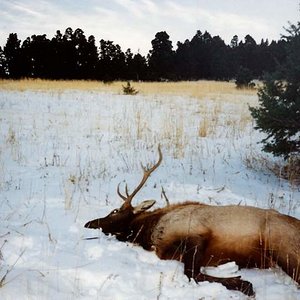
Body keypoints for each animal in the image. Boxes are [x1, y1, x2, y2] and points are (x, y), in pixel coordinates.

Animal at [84, 146, 300, 296]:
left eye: (114, 211)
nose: (88, 223)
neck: (150, 230)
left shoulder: (195, 234)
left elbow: (192, 274)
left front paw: (243, 284)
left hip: (282, 247)